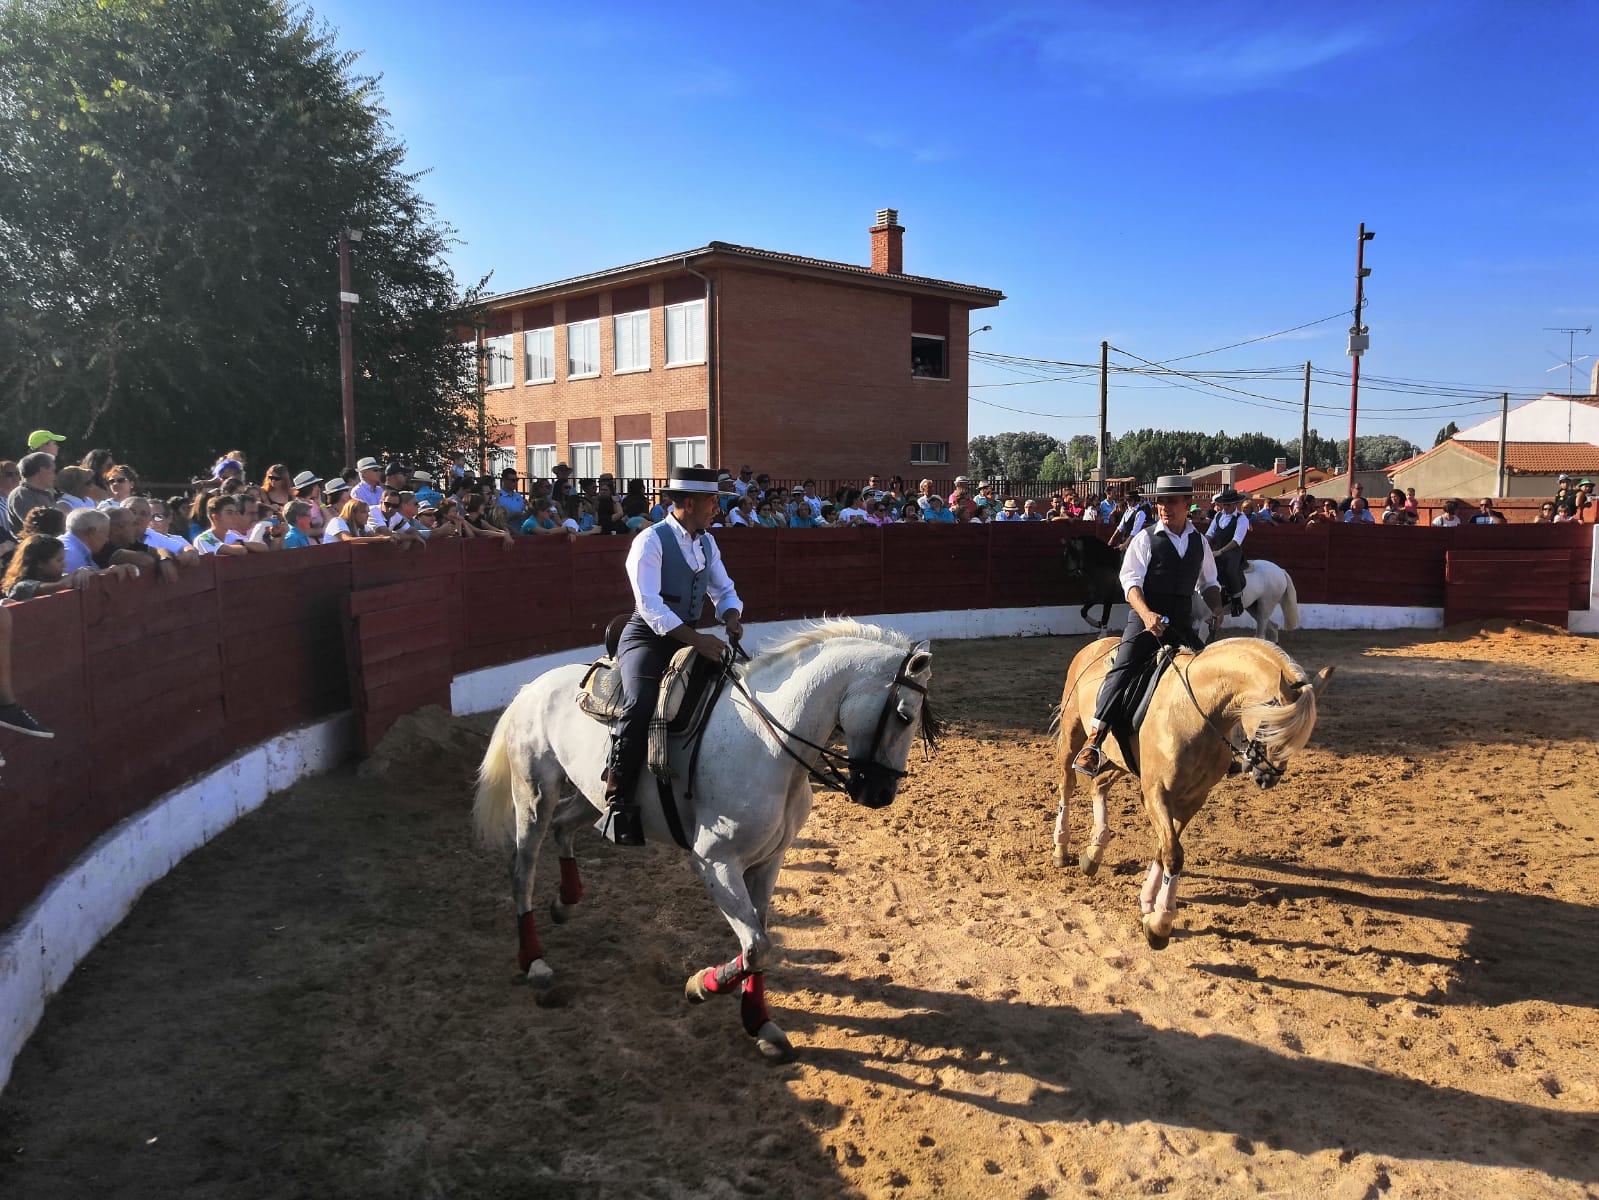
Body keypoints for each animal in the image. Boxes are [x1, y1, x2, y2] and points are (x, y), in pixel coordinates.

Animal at [466, 620, 933, 1062]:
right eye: (904, 715)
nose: (881, 793)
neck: (769, 745)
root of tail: (532, 687)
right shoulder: (714, 862)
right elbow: (757, 946)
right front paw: (700, 986)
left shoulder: (769, 862)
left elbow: (758, 941)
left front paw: (760, 1025)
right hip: (533, 793)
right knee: (522, 868)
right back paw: (536, 964)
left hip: (592, 796)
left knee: (565, 825)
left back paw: (565, 902)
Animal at [1055, 640, 1330, 947]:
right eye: (1269, 726)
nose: (1267, 777)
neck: (1195, 713)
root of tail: (1094, 646)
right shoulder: (1156, 793)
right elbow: (1173, 854)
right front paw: (1161, 924)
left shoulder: (1193, 798)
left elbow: (1164, 849)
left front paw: (1149, 903)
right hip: (1073, 735)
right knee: (1067, 786)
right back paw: (1061, 848)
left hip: (1121, 761)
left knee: (1099, 785)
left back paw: (1094, 852)